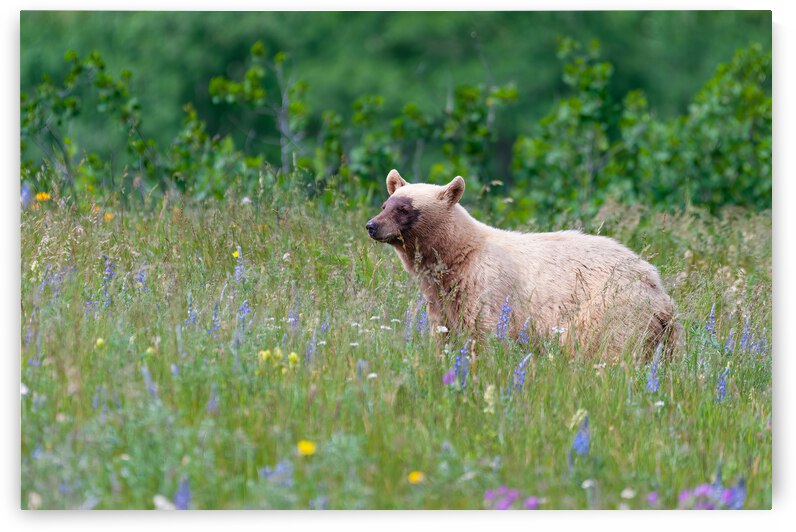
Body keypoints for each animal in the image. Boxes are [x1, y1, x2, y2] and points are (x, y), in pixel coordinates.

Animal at [365, 169, 681, 361]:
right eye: (385, 204)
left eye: (404, 208)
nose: (372, 226)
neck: (458, 256)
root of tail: (659, 293)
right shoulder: (442, 298)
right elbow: (444, 332)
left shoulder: (486, 288)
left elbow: (486, 335)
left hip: (612, 311)